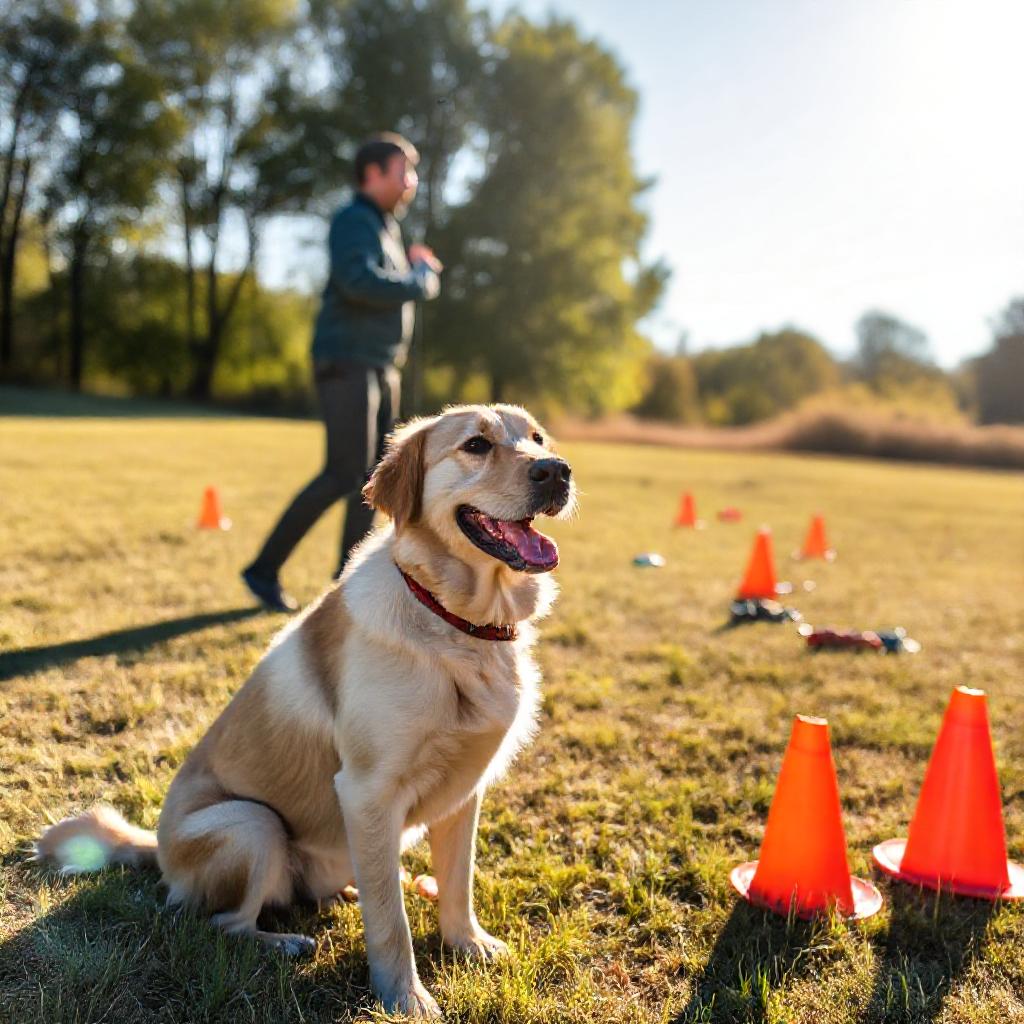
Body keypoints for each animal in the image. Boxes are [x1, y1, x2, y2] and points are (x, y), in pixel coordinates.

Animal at [34, 399, 577, 1015]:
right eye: (477, 445)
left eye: (537, 439)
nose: (557, 472)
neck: (455, 622)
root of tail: (160, 852)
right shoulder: (366, 791)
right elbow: (390, 922)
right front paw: (405, 997)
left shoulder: (466, 792)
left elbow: (458, 884)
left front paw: (468, 943)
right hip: (253, 824)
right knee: (224, 922)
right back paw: (284, 941)